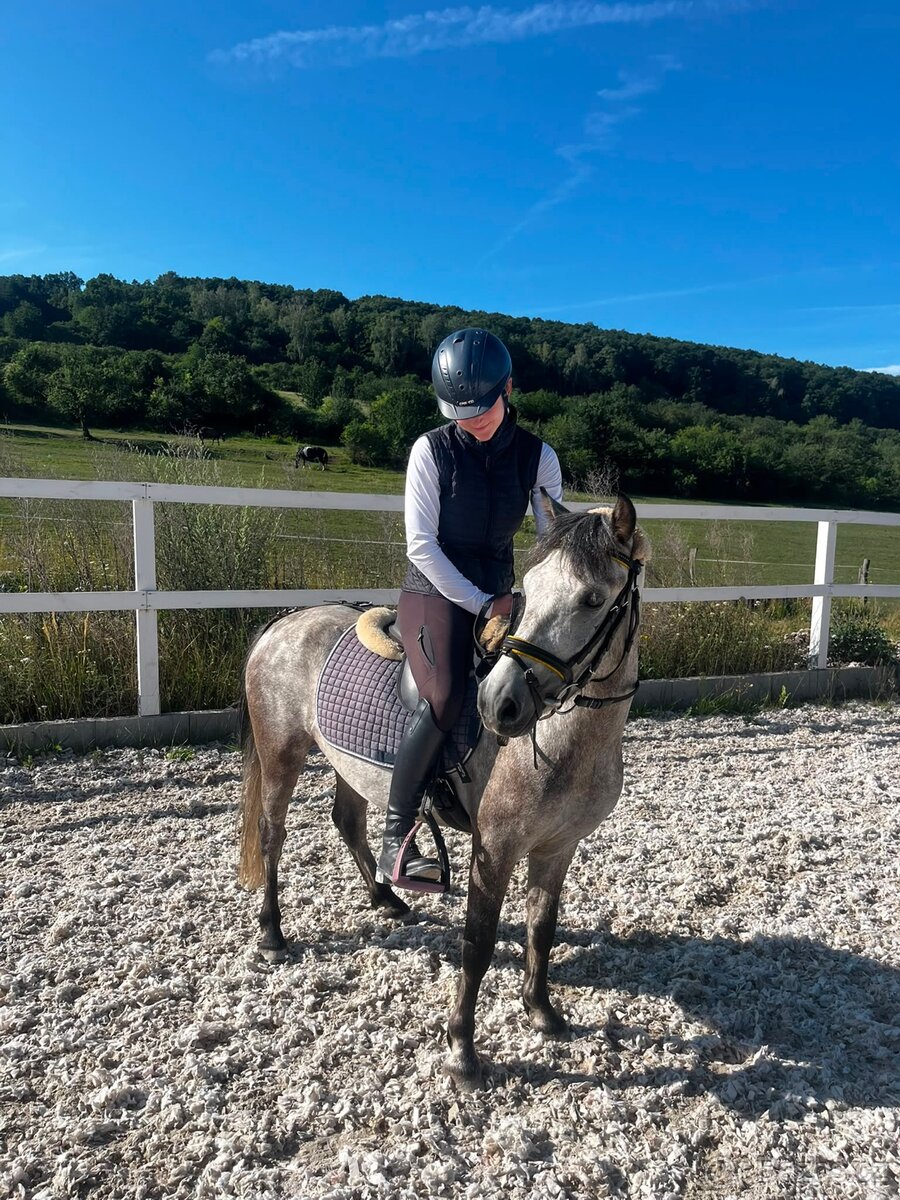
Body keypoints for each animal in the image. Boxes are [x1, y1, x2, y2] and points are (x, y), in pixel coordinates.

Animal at [238, 494, 649, 1087]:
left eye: (593, 598)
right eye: (530, 585)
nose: (498, 704)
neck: (567, 742)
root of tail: (286, 620)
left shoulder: (558, 847)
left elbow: (541, 929)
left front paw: (542, 1012)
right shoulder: (494, 849)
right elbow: (478, 943)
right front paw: (462, 1051)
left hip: (349, 765)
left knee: (348, 821)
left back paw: (388, 898)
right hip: (280, 755)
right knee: (273, 835)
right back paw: (272, 934)